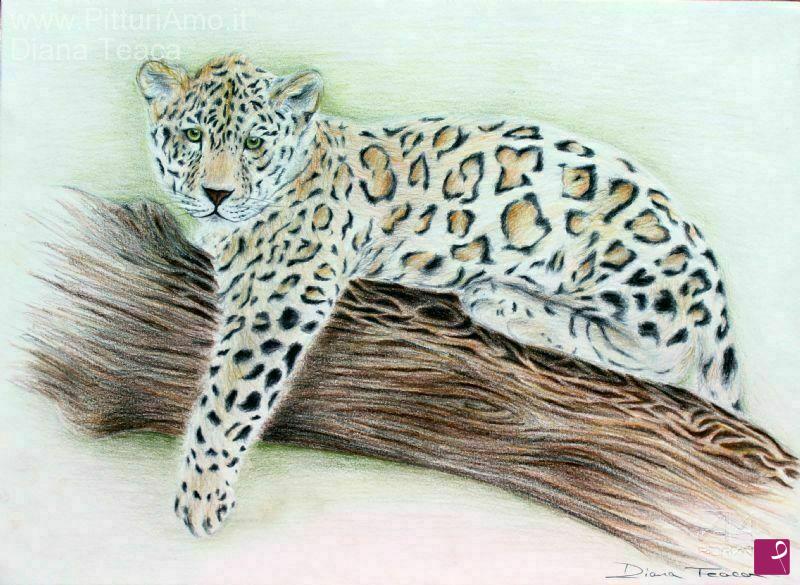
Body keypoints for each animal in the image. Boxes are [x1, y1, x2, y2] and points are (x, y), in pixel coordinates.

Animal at [136, 54, 740, 537]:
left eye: (255, 144)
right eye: (192, 136)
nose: (216, 194)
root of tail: (712, 274)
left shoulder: (286, 290)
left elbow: (229, 396)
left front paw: (202, 494)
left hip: (618, 264)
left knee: (667, 354)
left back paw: (500, 301)